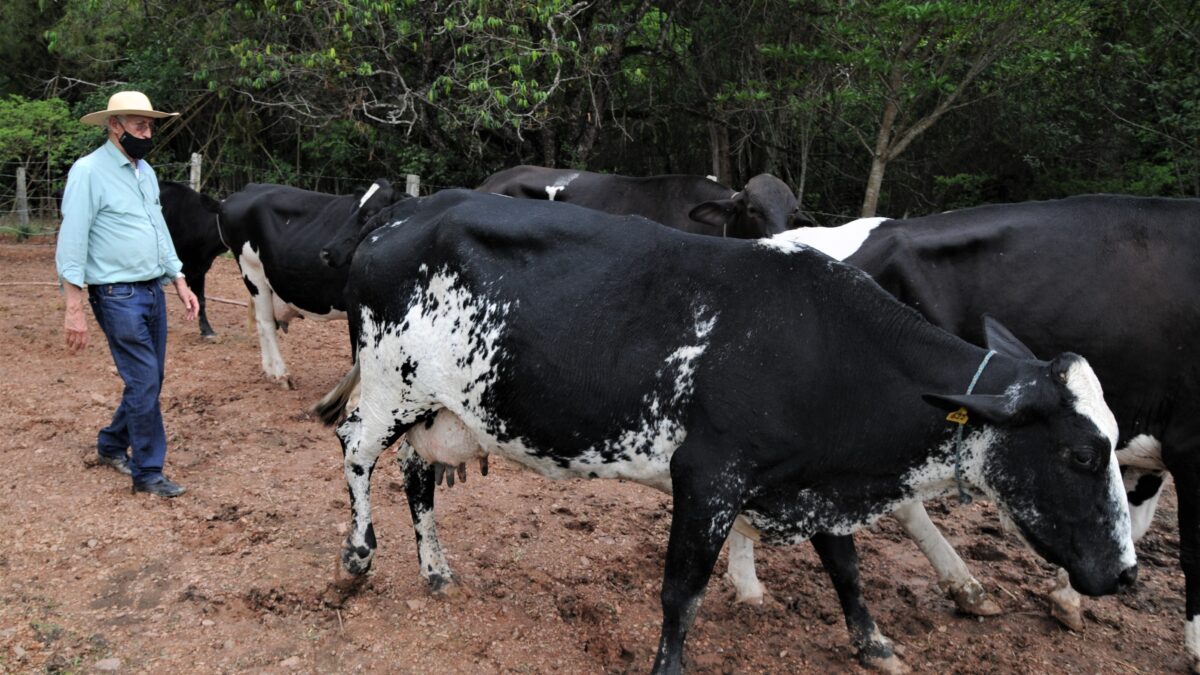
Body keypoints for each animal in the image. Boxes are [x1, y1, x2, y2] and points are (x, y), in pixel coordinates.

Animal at [217, 178, 403, 386]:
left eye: (370, 214)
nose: (327, 252)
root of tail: (248, 188)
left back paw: (269, 371)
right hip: (252, 271)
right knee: (265, 322)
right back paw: (281, 374)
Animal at [309, 189, 1132, 672]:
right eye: (1080, 454)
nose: (1125, 573)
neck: (822, 345)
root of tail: (400, 218)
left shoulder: (808, 479)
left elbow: (846, 566)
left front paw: (872, 642)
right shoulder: (708, 476)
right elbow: (683, 591)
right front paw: (669, 665)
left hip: (444, 409)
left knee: (417, 474)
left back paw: (436, 568)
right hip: (389, 385)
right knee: (355, 449)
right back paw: (355, 559)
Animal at [777, 193, 1200, 667]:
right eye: (1081, 456)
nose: (1122, 577)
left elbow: (1129, 522)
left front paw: (1069, 595)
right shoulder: (1192, 444)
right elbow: (1193, 551)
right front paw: (1197, 645)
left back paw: (968, 590)